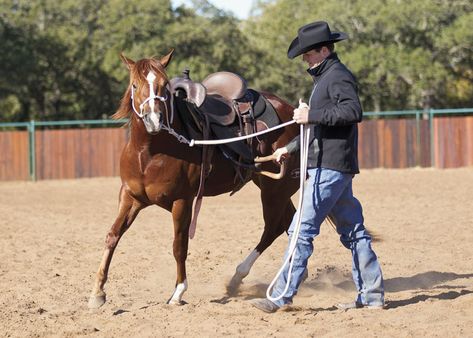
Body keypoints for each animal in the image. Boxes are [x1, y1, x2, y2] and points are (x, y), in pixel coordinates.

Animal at [88, 50, 298, 308]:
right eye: (135, 85)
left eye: (164, 86)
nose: (153, 120)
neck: (149, 152)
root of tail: (291, 110)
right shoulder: (130, 197)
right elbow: (112, 236)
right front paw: (98, 292)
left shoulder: (183, 201)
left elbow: (179, 246)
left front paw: (178, 292)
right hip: (273, 187)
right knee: (288, 223)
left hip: (275, 189)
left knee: (273, 227)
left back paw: (240, 276)